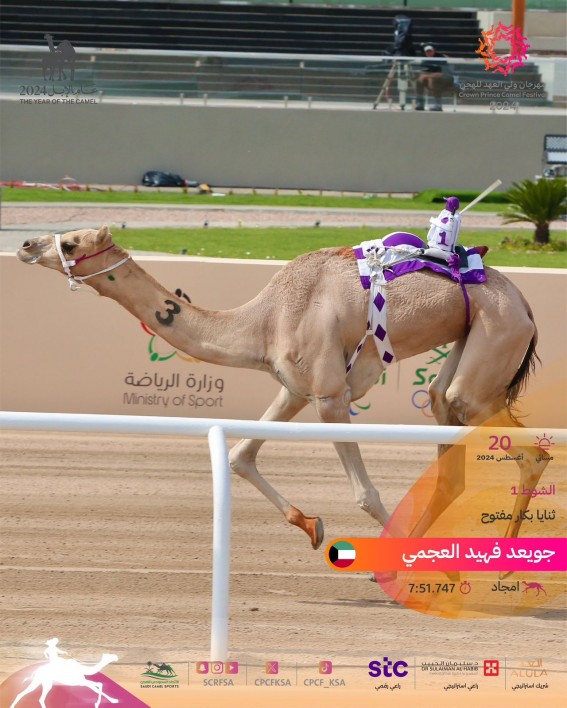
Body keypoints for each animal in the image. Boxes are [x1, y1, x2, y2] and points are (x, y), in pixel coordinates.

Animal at [18, 227, 552, 548]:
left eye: (71, 243)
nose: (25, 244)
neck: (263, 319)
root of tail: (526, 304)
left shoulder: (330, 396)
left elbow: (364, 493)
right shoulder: (294, 389)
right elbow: (239, 456)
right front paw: (311, 525)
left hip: (495, 338)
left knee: (523, 448)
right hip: (469, 349)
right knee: (449, 436)